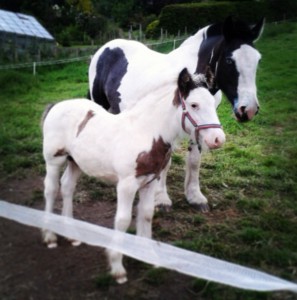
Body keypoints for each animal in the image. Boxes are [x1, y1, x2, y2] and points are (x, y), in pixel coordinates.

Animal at [88, 16, 264, 212]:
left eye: (258, 60)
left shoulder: (200, 124)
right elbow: (166, 163)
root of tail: (105, 48)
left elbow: (194, 160)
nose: (248, 110)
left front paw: (195, 197)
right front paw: (161, 199)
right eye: (229, 60)